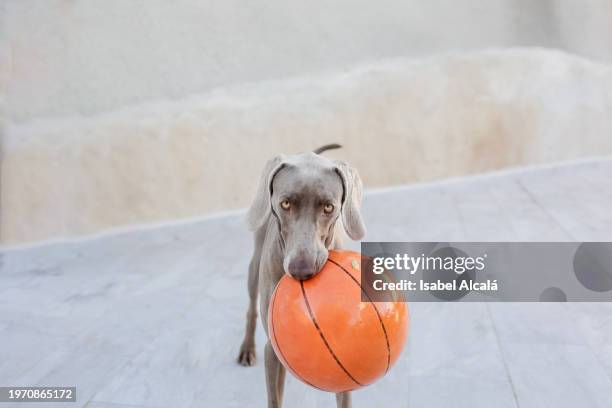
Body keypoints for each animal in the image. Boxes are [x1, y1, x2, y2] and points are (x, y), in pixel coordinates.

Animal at [238, 145, 366, 406]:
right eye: (285, 204)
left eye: (328, 207)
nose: (301, 270)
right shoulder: (272, 350)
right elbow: (274, 398)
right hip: (255, 265)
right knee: (251, 306)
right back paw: (247, 348)